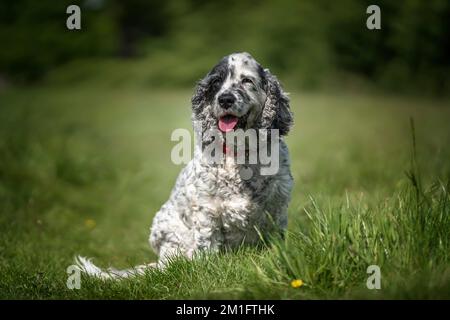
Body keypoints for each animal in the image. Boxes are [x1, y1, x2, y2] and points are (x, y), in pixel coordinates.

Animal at [76, 52, 296, 278]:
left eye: (246, 80)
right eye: (216, 82)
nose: (225, 99)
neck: (239, 155)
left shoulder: (278, 205)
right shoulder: (207, 211)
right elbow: (206, 244)